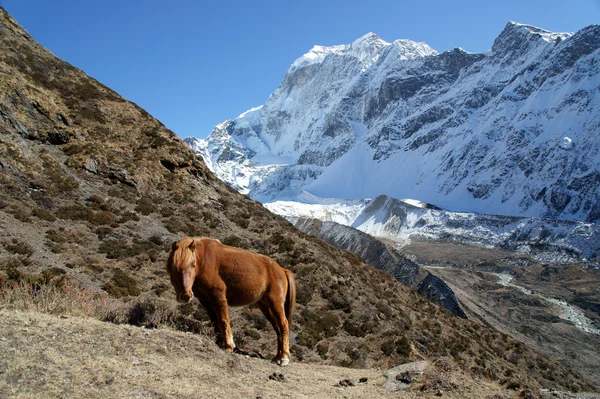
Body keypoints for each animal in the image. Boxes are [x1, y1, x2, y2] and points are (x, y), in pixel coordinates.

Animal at [165, 238, 296, 366]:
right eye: (173, 266)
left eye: (193, 265)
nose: (186, 295)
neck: (204, 261)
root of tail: (282, 270)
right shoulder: (206, 301)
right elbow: (215, 322)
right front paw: (218, 342)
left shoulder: (218, 295)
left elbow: (224, 320)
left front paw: (229, 346)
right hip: (265, 306)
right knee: (277, 328)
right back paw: (277, 357)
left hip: (275, 303)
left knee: (284, 324)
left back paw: (284, 357)